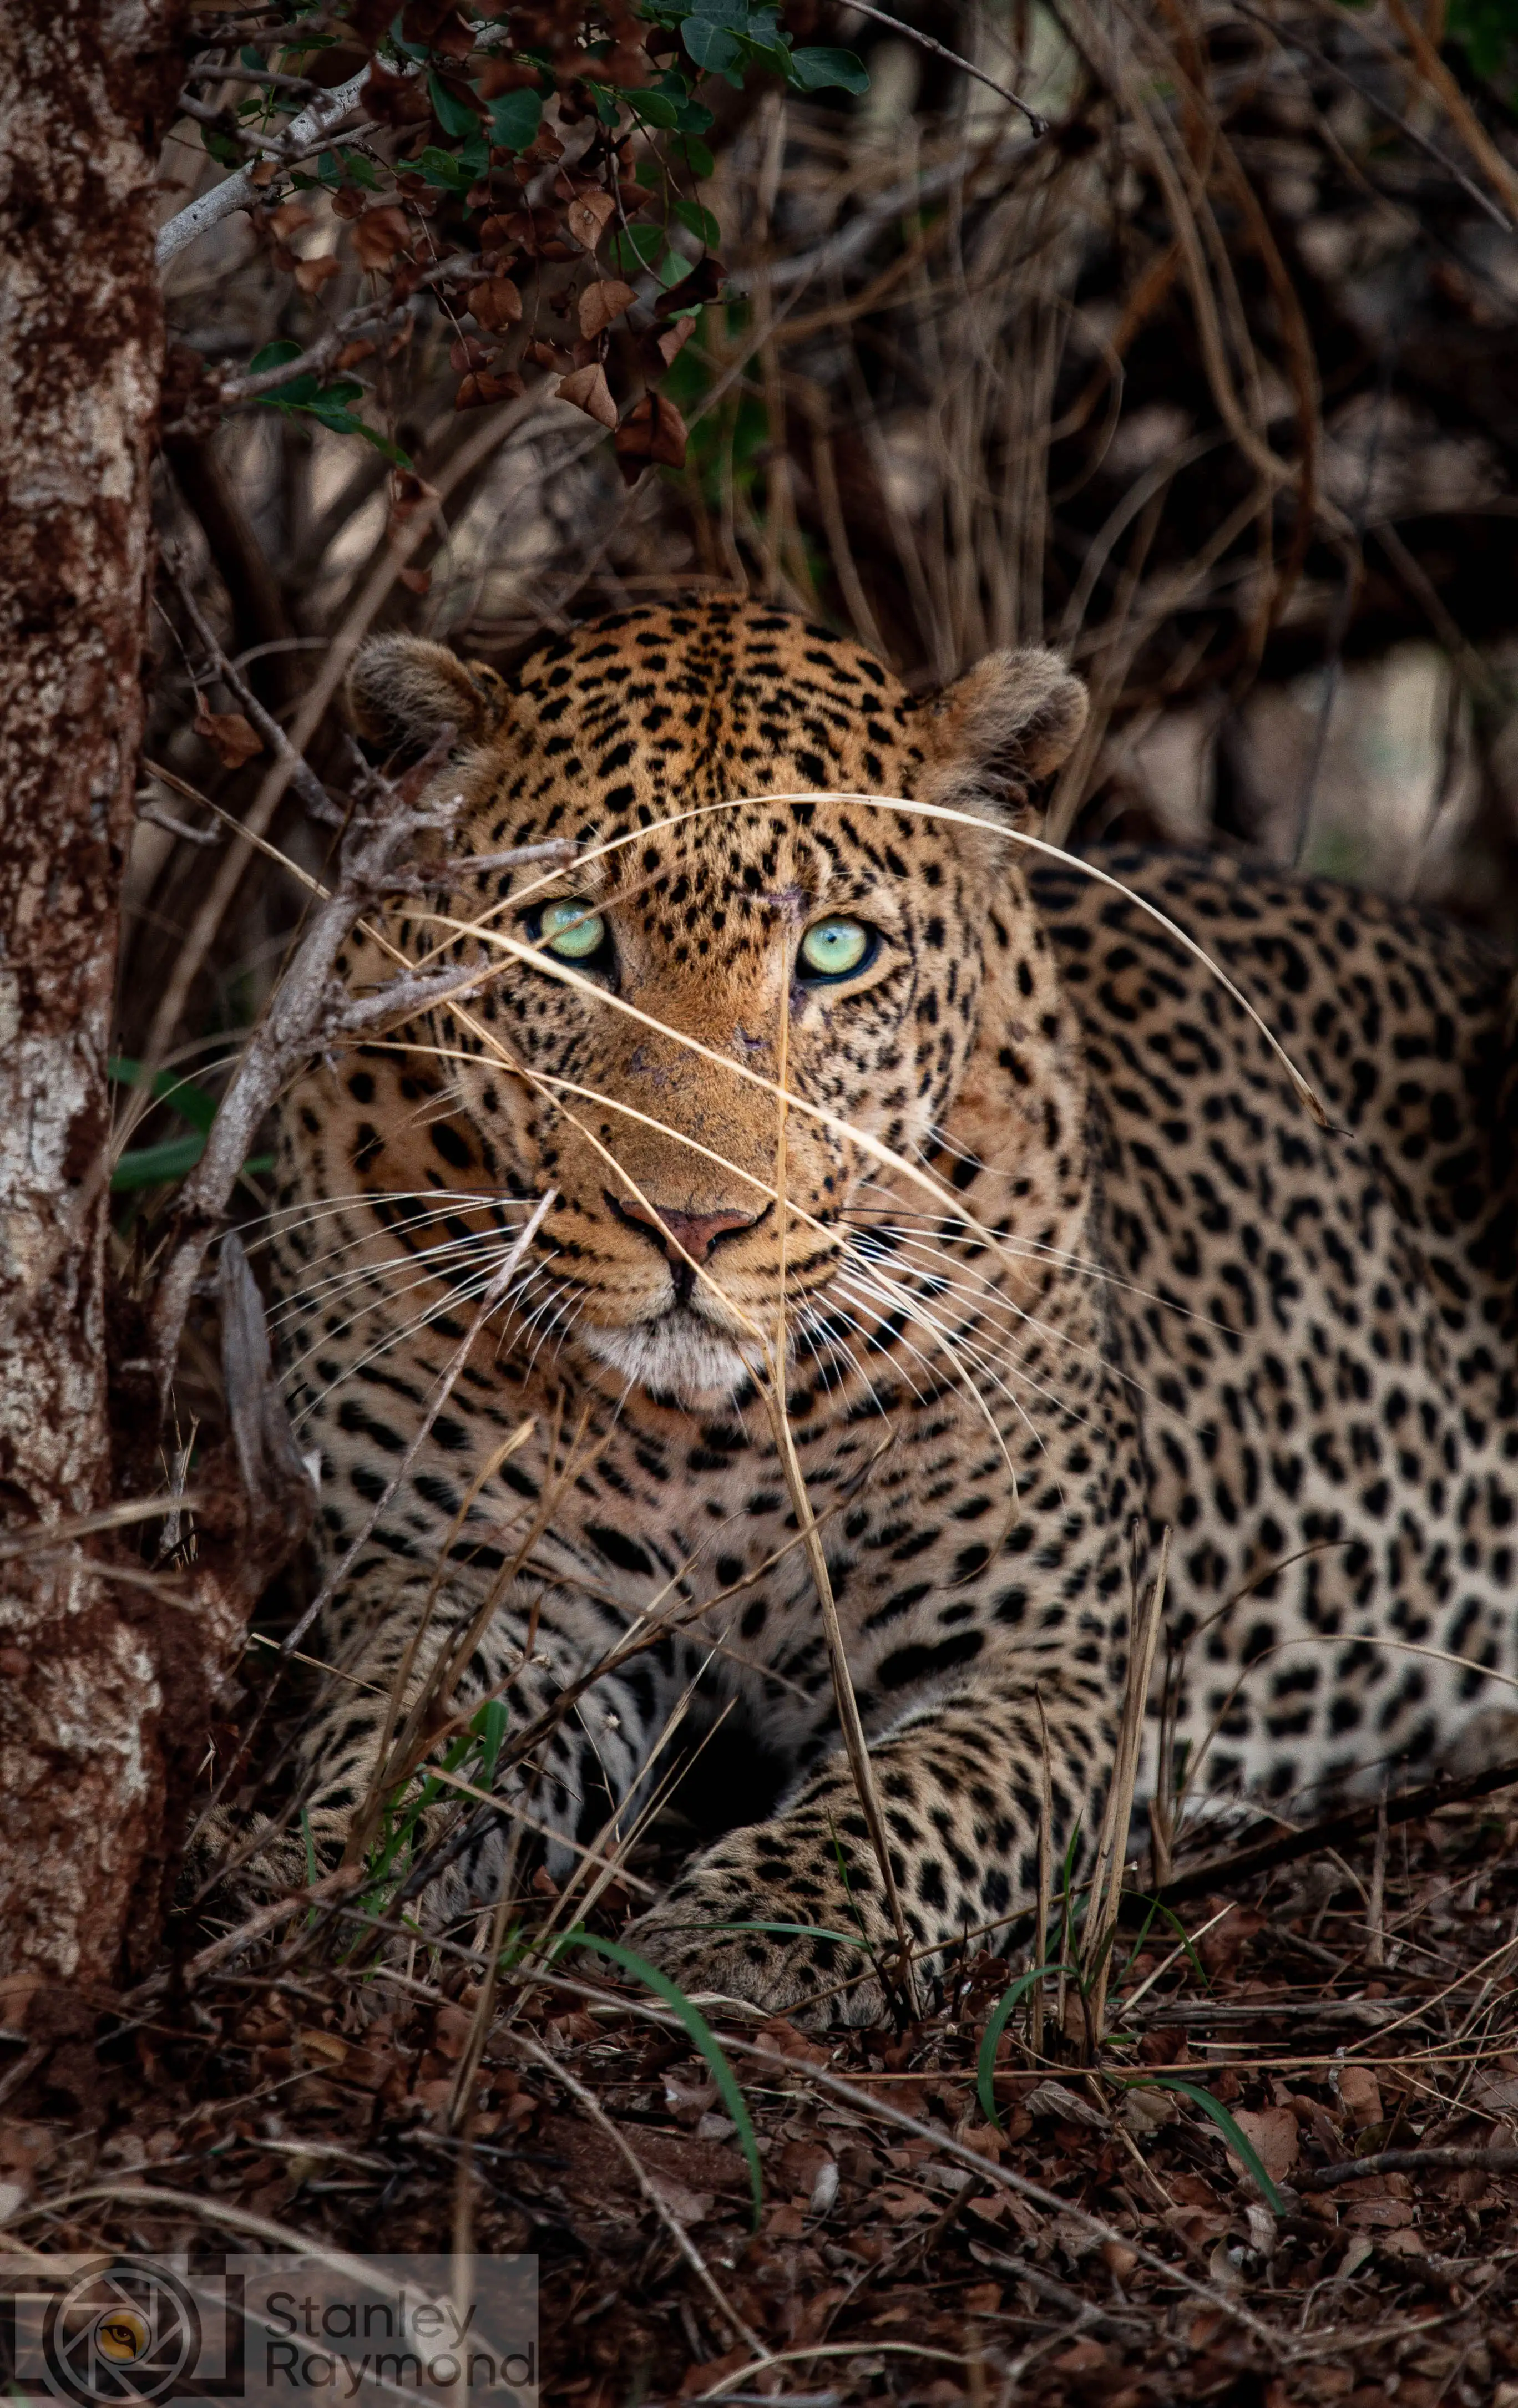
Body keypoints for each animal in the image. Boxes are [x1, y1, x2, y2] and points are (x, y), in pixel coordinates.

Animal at [246, 593, 1518, 2024]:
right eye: (567, 932)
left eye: (835, 952)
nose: (691, 1225)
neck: (709, 1436)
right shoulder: (459, 1581)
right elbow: (398, 1743)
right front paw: (328, 1879)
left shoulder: (1049, 1667)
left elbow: (904, 1813)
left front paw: (749, 1936)